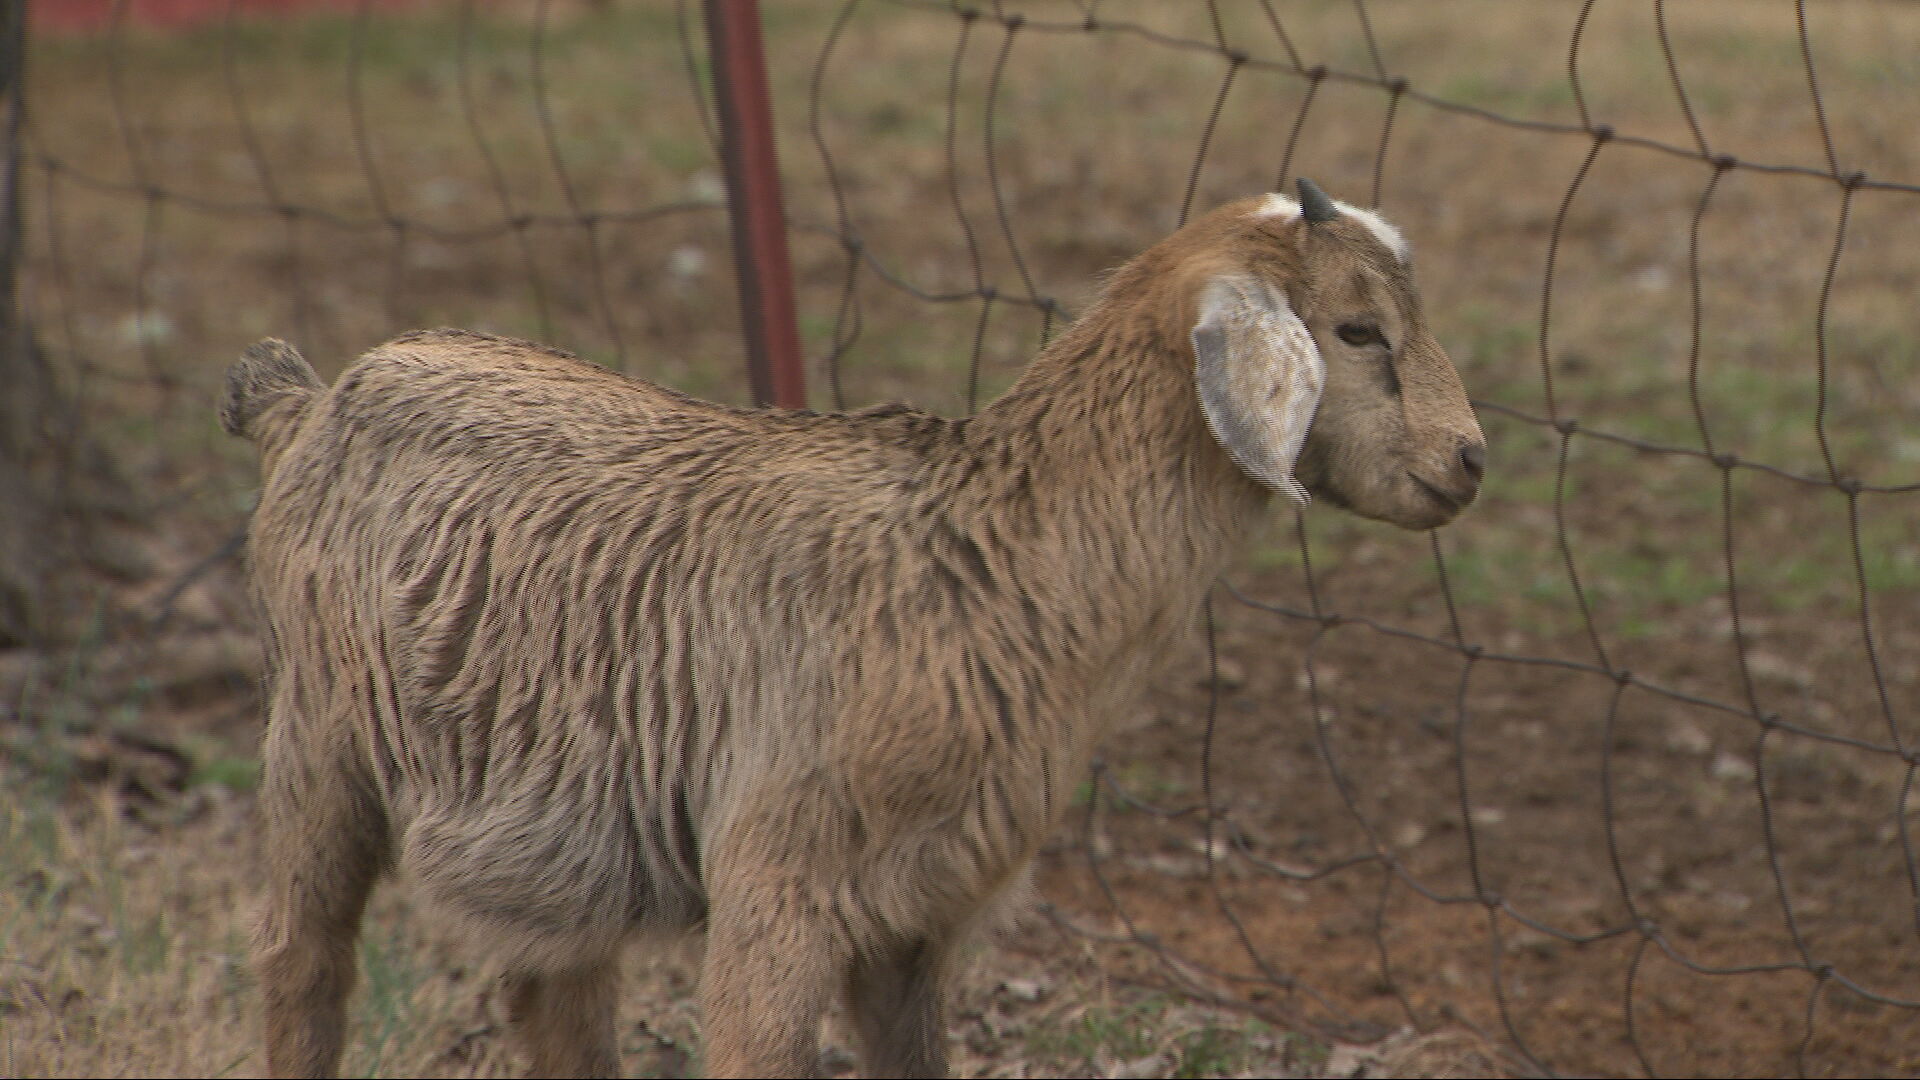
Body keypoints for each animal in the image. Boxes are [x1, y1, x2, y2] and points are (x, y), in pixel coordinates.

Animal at [224, 181, 1484, 1078]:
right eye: (1358, 331)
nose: (1469, 460)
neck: (988, 556)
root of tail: (313, 398)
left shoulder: (917, 919)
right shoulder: (774, 893)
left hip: (553, 840)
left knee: (550, 997)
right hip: (317, 746)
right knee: (299, 966)